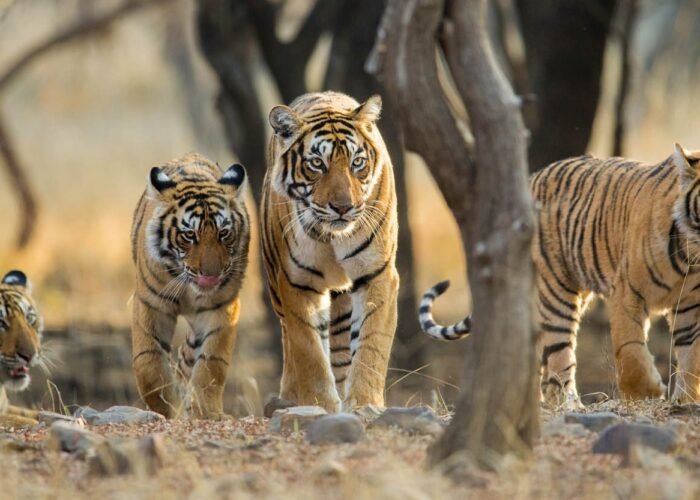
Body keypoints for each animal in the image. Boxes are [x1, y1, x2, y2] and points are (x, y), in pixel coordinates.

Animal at [130, 153, 250, 419]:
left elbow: (211, 363)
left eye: (224, 233)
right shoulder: (150, 304)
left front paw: (205, 412)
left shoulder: (222, 307)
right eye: (189, 235)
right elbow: (149, 363)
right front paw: (166, 408)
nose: (211, 275)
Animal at [261, 91, 399, 412]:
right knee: (291, 342)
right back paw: (288, 397)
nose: (343, 207)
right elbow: (309, 351)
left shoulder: (378, 274)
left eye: (357, 162)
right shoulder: (298, 282)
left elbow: (371, 345)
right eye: (316, 163)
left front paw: (364, 403)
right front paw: (319, 404)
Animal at [419, 144, 700, 407]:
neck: (690, 256)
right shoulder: (627, 293)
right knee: (558, 358)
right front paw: (645, 395)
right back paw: (568, 405)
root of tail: (532, 178)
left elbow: (691, 354)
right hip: (556, 292)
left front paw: (686, 400)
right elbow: (630, 350)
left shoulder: (691, 305)